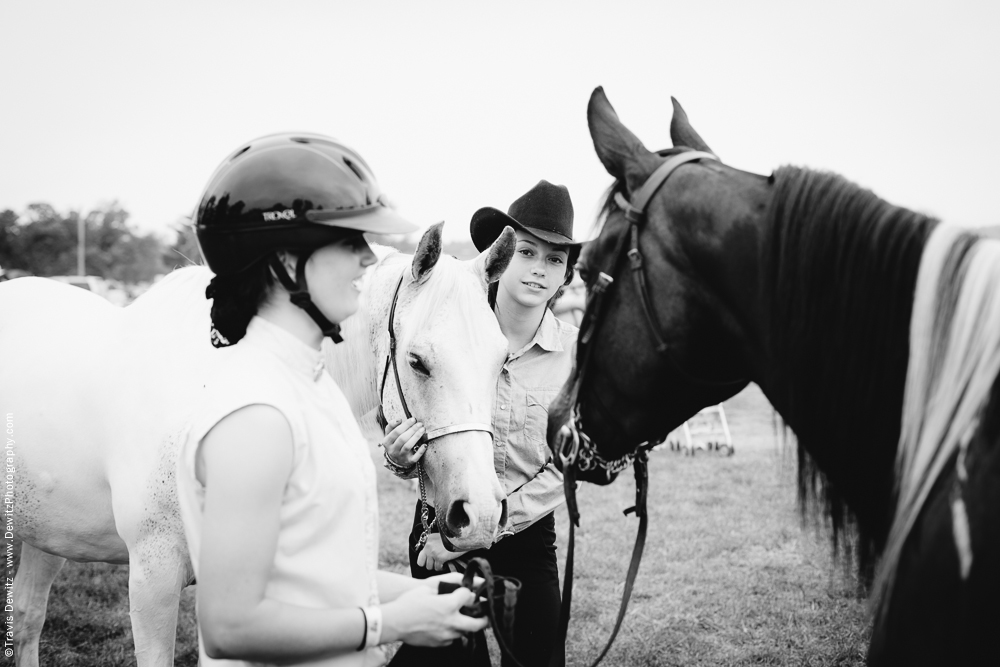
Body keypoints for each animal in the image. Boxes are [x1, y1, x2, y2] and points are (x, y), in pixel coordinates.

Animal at [1, 224, 516, 667]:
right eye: (417, 361)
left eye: (501, 360)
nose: (480, 514)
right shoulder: (153, 575)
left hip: (48, 533)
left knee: (27, 617)